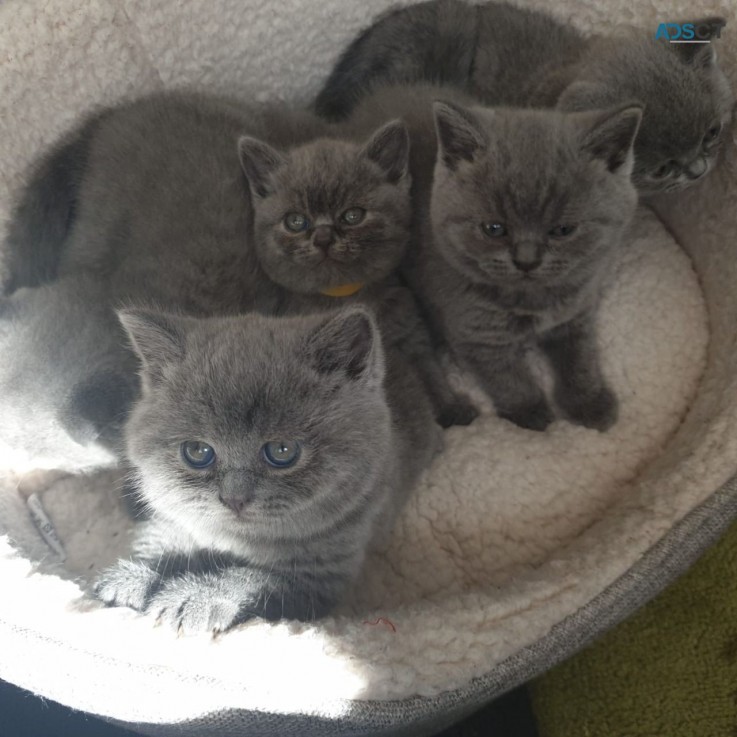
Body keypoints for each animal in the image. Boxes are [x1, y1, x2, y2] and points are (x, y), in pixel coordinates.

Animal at [92, 308, 436, 628]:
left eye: (282, 451)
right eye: (197, 452)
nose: (234, 499)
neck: (234, 538)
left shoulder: (320, 576)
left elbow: (248, 577)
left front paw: (192, 597)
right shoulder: (174, 516)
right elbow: (160, 543)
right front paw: (135, 577)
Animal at [348, 85, 640, 432]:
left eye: (563, 230)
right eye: (494, 229)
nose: (526, 260)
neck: (534, 299)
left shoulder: (576, 312)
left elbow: (579, 356)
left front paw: (589, 401)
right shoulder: (477, 334)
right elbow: (506, 377)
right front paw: (531, 413)